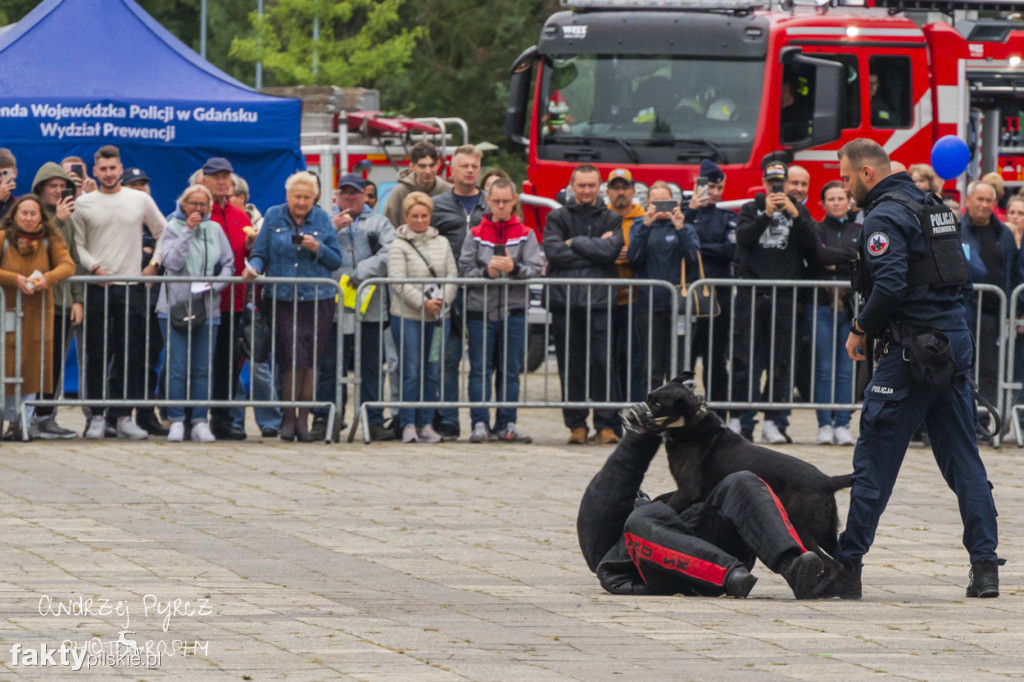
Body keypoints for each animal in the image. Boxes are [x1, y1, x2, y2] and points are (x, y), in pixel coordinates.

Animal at [622, 372, 856, 561]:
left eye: (657, 405)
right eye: (649, 398)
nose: (630, 415)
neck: (692, 427)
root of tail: (826, 480)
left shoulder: (688, 491)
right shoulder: (686, 491)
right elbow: (661, 499)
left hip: (803, 530)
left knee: (831, 565)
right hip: (826, 533)